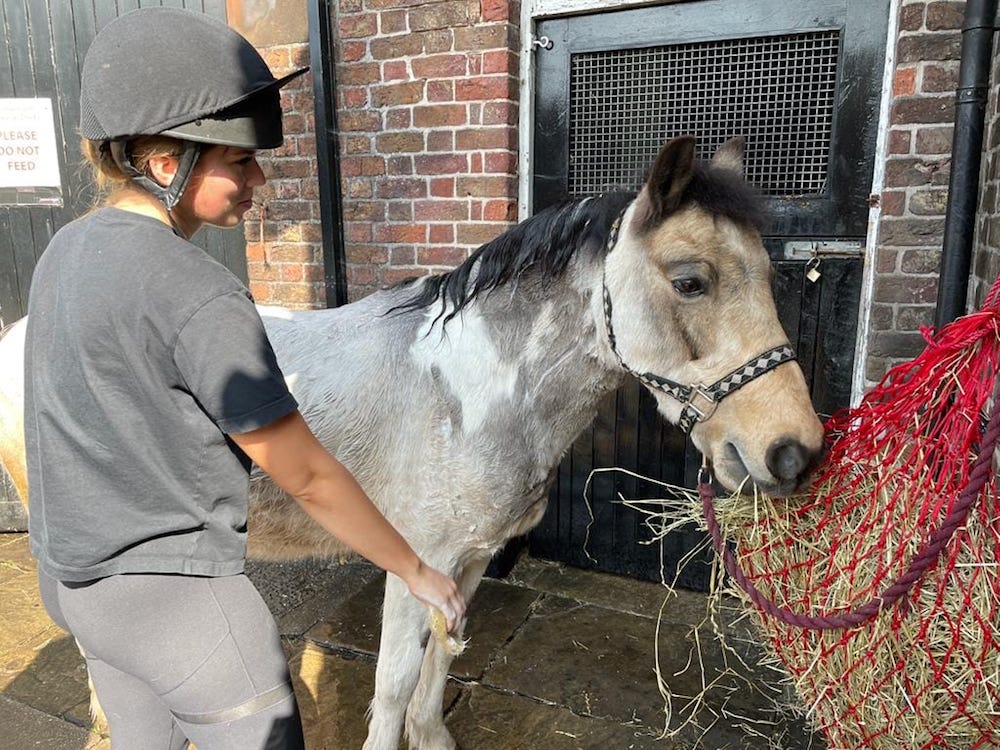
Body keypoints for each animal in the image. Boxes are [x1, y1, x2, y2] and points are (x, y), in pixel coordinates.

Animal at [0, 135, 824, 749]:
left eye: (771, 275)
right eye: (690, 281)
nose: (793, 452)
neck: (470, 394)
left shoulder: (470, 561)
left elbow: (439, 662)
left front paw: (432, 736)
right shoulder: (415, 563)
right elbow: (394, 680)